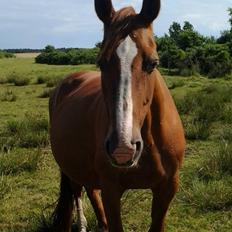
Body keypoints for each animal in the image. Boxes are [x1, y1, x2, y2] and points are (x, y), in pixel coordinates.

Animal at [48, 0, 185, 231]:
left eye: (153, 63)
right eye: (101, 62)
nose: (123, 148)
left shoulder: (167, 188)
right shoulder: (111, 191)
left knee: (90, 191)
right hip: (71, 168)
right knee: (77, 191)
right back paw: (82, 224)